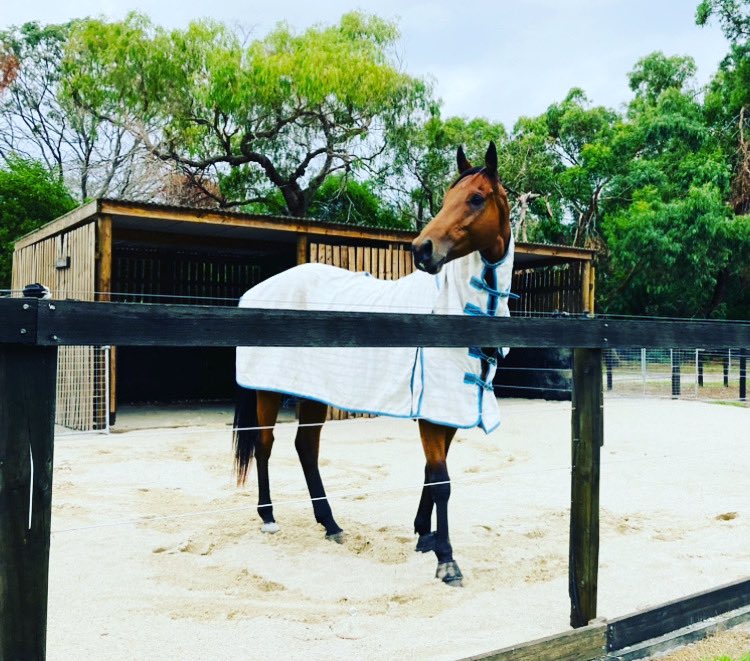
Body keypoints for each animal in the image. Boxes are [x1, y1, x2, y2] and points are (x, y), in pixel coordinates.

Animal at [234, 141, 513, 586]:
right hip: (268, 390)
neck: (454, 309)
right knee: (265, 444)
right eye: (446, 198)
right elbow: (441, 480)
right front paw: (446, 559)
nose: (422, 249)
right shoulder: (432, 413)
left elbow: (431, 473)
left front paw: (424, 535)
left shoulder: (448, 410)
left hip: (313, 393)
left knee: (305, 448)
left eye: (475, 198)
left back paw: (330, 524)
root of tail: (256, 292)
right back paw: (269, 517)